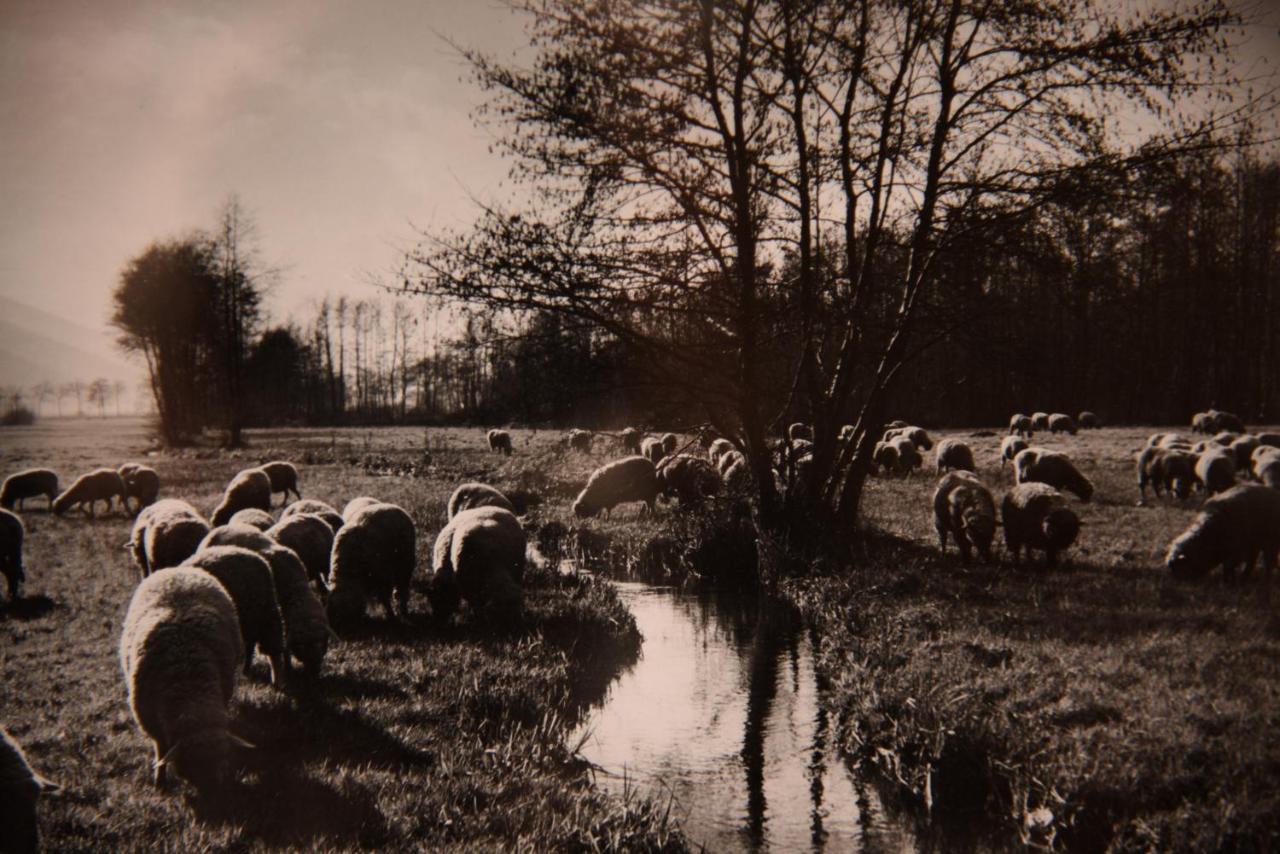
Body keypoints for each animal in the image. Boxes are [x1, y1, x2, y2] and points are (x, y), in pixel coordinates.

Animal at [119, 568, 249, 788]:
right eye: (190, 768)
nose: (214, 791)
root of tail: (176, 569)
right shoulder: (151, 721)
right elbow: (160, 749)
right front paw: (160, 780)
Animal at [181, 547, 286, 686]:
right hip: (249, 617)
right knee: (250, 644)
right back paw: (246, 671)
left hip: (264, 609)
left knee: (272, 646)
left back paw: (277, 680)